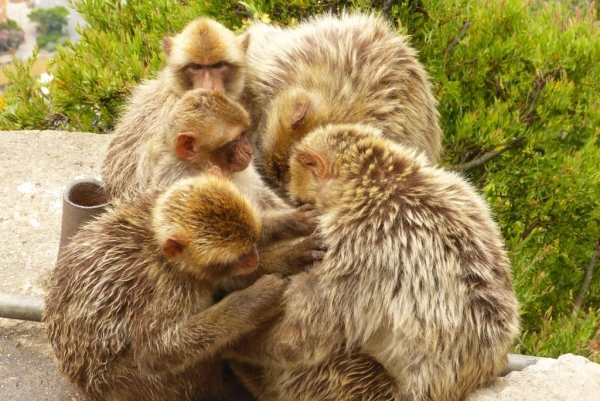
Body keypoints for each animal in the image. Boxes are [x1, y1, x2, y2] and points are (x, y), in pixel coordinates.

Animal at [43, 173, 288, 400]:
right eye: (231, 260)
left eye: (252, 242)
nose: (253, 259)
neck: (155, 239)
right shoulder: (169, 287)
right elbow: (155, 353)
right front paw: (254, 299)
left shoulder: (151, 198)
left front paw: (285, 226)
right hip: (122, 387)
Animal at [227, 124, 516, 400]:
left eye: (303, 201)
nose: (302, 206)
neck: (379, 182)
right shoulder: (461, 190)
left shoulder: (350, 241)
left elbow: (296, 342)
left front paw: (236, 346)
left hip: (360, 389)